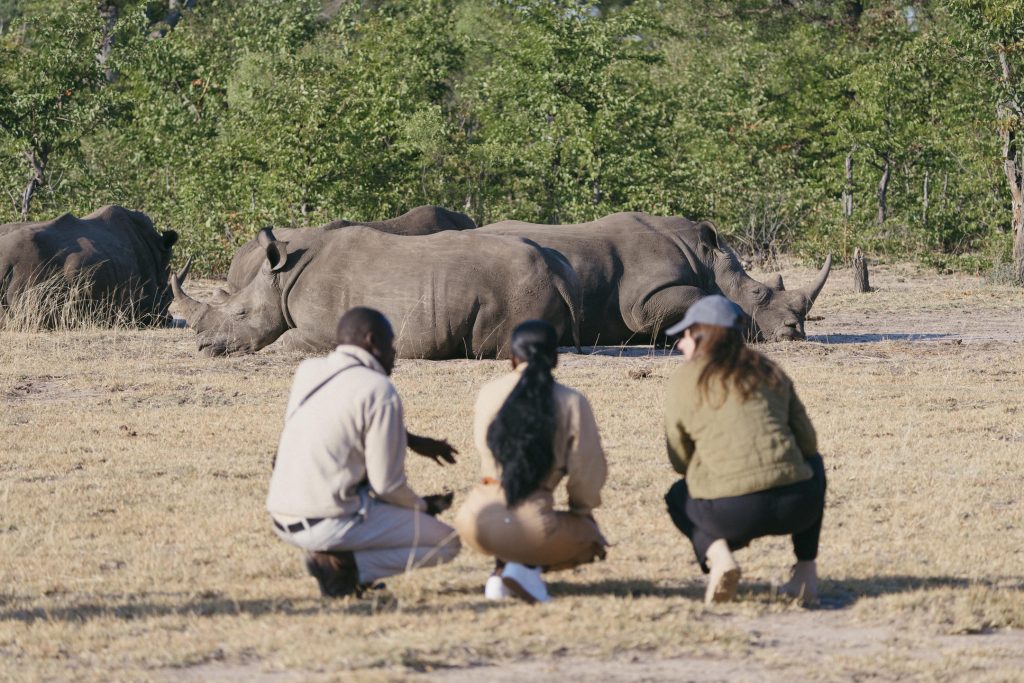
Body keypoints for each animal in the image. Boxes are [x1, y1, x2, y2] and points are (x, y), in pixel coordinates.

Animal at [170, 226, 582, 359]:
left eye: (241, 313)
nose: (203, 347)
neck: (281, 280)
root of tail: (558, 272)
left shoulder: (321, 332)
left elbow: (283, 342)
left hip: (518, 287)